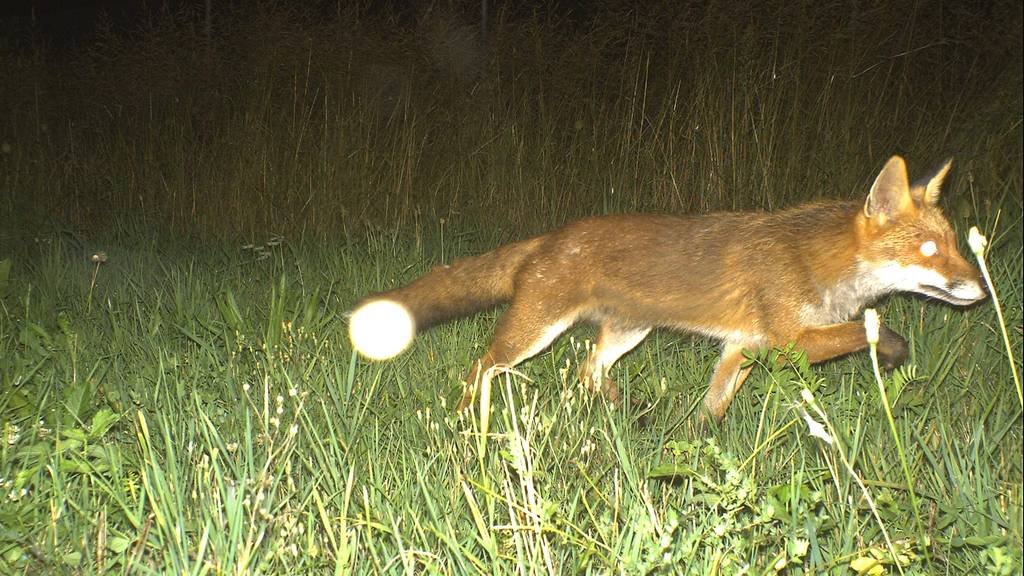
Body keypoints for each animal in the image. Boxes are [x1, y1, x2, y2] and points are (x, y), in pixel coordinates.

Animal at [348, 155, 987, 416]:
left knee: (589, 371)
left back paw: (625, 413)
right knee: (483, 366)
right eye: (929, 253)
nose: (980, 289)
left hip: (629, 332)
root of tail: (552, 235)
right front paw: (894, 352)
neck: (817, 265)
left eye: (955, 244)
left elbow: (713, 410)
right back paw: (466, 425)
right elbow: (871, 332)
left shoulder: (742, 350)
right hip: (533, 333)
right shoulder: (788, 344)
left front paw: (700, 451)